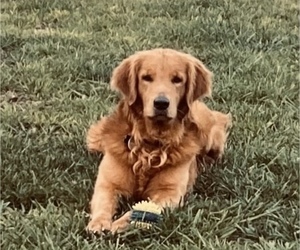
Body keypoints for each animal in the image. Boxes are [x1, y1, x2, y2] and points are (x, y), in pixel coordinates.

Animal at [85, 48, 231, 232]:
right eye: (146, 77)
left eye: (177, 80)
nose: (161, 103)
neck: (151, 144)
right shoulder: (108, 184)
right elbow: (103, 204)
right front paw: (98, 223)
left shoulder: (168, 192)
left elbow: (138, 210)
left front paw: (118, 224)